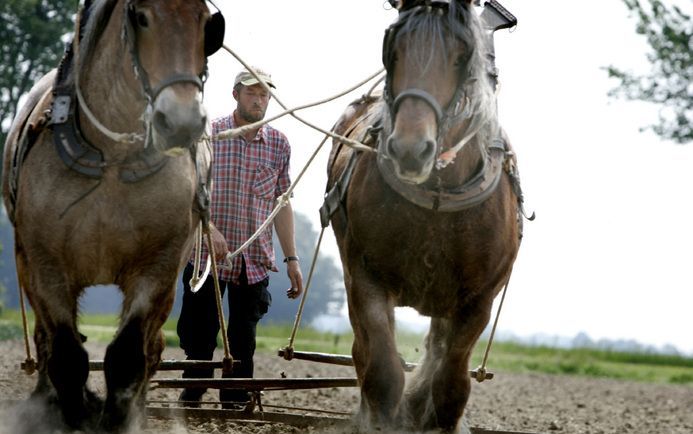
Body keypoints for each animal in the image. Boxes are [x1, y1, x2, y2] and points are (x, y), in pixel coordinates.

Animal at [1, 1, 222, 432]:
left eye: (208, 25)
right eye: (141, 17)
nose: (182, 122)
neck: (114, 160)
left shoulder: (158, 268)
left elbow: (128, 357)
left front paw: (120, 417)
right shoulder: (47, 266)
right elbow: (66, 357)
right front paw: (75, 414)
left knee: (153, 348)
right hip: (25, 264)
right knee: (45, 343)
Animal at [324, 0, 524, 432]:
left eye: (461, 55)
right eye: (393, 48)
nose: (410, 149)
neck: (437, 192)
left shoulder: (478, 300)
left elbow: (450, 386)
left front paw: (434, 416)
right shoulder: (364, 277)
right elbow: (382, 373)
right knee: (364, 353)